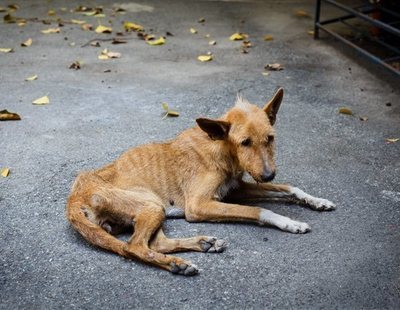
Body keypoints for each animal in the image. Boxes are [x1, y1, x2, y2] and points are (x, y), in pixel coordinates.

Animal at [65, 88, 334, 276]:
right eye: (245, 142)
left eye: (270, 138)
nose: (268, 175)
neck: (221, 148)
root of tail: (74, 198)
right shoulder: (198, 205)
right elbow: (259, 210)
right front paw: (290, 222)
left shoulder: (235, 189)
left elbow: (288, 188)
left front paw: (317, 201)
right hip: (151, 204)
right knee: (135, 247)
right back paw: (178, 264)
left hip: (152, 208)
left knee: (156, 244)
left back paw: (203, 244)